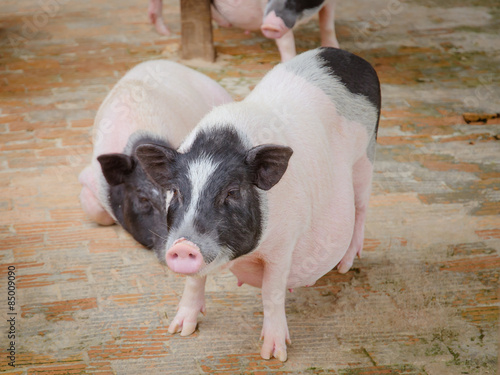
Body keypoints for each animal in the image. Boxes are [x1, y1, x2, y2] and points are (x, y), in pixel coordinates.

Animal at [135, 47, 380, 362]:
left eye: (232, 191)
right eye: (176, 192)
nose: (183, 246)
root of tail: (352, 57)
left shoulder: (285, 244)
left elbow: (271, 293)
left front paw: (274, 355)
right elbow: (193, 281)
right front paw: (180, 331)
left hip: (366, 160)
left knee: (361, 211)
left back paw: (344, 267)